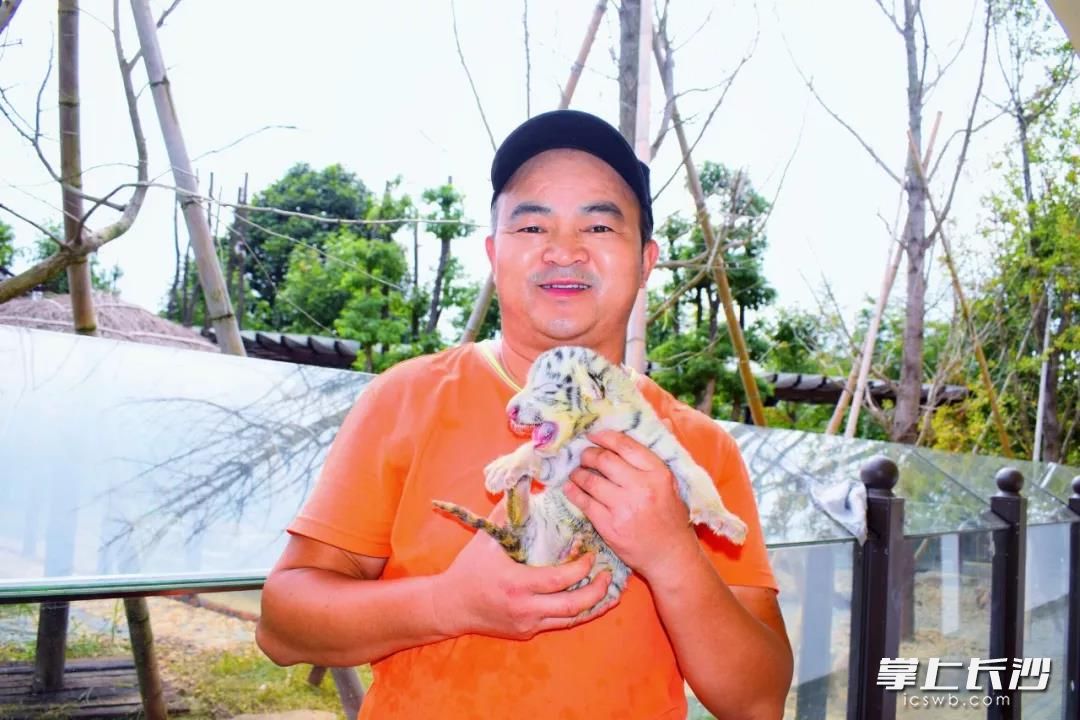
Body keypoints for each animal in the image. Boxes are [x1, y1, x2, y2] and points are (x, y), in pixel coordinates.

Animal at [432, 345, 748, 617]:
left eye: (544, 388)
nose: (509, 410)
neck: (599, 427)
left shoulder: (669, 455)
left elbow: (699, 480)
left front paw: (728, 522)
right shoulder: (564, 461)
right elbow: (532, 452)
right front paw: (503, 468)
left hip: (605, 570)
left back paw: (577, 545)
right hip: (540, 529)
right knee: (525, 528)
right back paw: (523, 494)